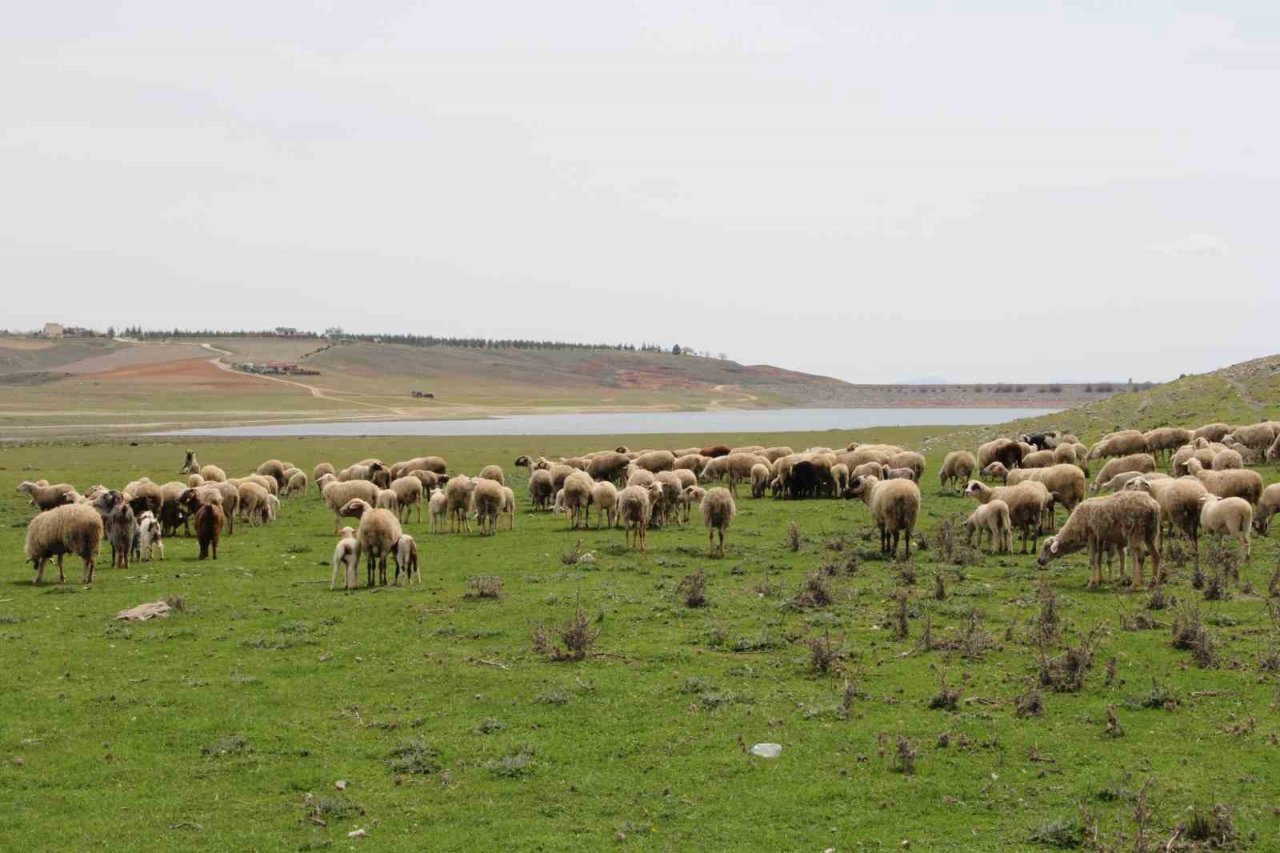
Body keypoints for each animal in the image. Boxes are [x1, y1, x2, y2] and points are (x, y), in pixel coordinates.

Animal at [1034, 491, 1167, 584]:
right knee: (1156, 555)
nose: (1039, 560)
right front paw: (1099, 580)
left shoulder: (1091, 535)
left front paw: (1092, 583)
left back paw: (1134, 585)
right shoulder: (1101, 537)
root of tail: (1153, 505)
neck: (1075, 528)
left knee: (1140, 557)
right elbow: (1098, 560)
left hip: (1135, 532)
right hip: (1151, 533)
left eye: (1046, 547)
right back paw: (1153, 583)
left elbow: (1093, 560)